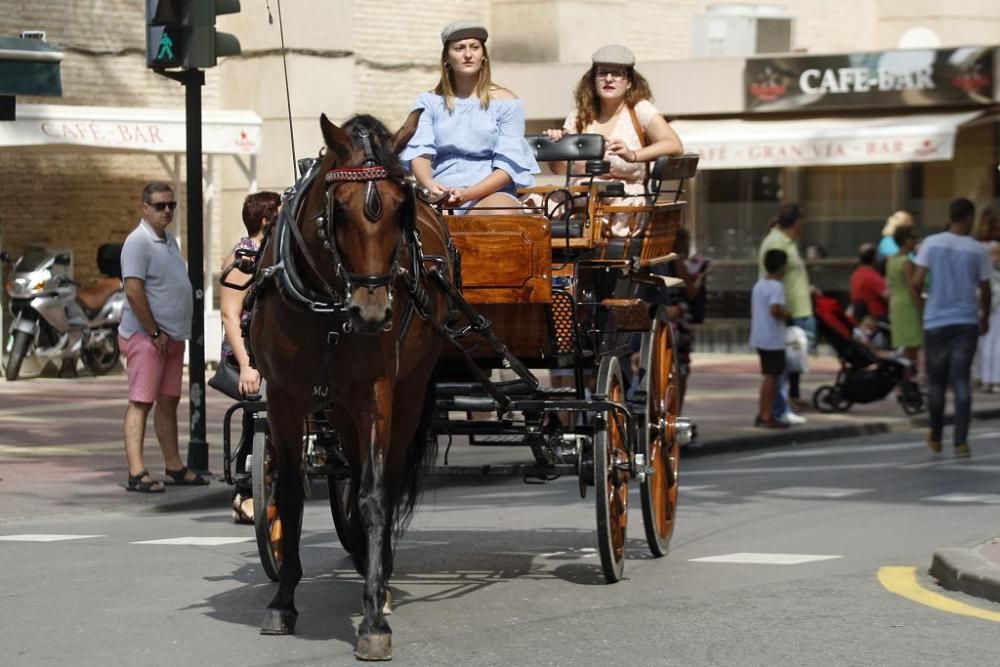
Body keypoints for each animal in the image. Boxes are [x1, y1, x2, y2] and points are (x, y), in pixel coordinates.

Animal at [248, 112, 456, 660]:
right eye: (338, 210)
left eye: (402, 208)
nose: (372, 313)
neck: (326, 303)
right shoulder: (283, 397)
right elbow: (291, 495)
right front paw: (282, 601)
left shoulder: (375, 392)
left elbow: (375, 495)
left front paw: (373, 618)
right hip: (336, 406)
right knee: (353, 467)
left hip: (407, 391)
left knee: (385, 473)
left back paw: (378, 580)